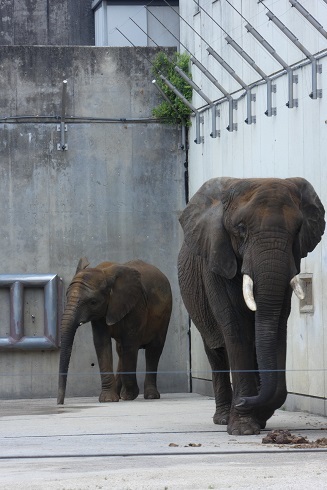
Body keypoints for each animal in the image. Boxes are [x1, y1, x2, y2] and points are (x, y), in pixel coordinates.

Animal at [57, 258, 173, 404]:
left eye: (93, 302)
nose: (60, 403)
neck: (105, 272)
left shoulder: (136, 305)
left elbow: (130, 343)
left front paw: (129, 395)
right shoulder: (101, 314)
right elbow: (102, 343)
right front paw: (108, 400)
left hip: (165, 313)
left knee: (153, 350)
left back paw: (149, 396)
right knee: (120, 350)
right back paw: (120, 395)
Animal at [178, 178, 326, 434]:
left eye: (298, 229)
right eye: (241, 228)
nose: (243, 402)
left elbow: (277, 326)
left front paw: (255, 414)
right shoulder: (216, 259)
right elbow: (236, 328)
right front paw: (243, 428)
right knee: (216, 349)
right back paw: (223, 418)